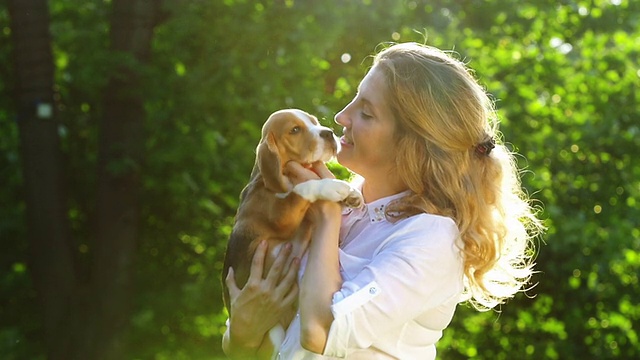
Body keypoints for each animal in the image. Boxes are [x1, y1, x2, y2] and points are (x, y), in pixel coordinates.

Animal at [222, 108, 362, 352]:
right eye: (295, 130)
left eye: (314, 121)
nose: (328, 133)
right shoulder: (281, 216)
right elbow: (302, 188)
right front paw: (335, 187)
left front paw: (352, 193)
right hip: (274, 334)